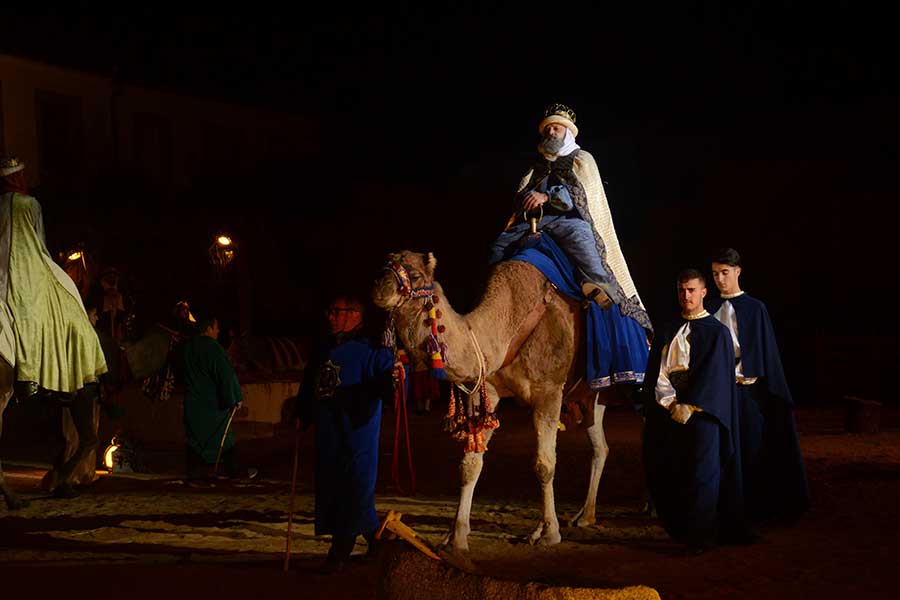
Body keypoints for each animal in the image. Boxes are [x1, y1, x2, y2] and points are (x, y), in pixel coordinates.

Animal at [372, 251, 640, 552]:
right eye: (382, 268)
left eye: (416, 275)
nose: (380, 288)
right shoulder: (486, 388)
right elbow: (470, 463)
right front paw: (456, 536)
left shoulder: (548, 390)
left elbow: (544, 464)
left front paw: (550, 534)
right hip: (590, 395)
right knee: (600, 447)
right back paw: (584, 516)